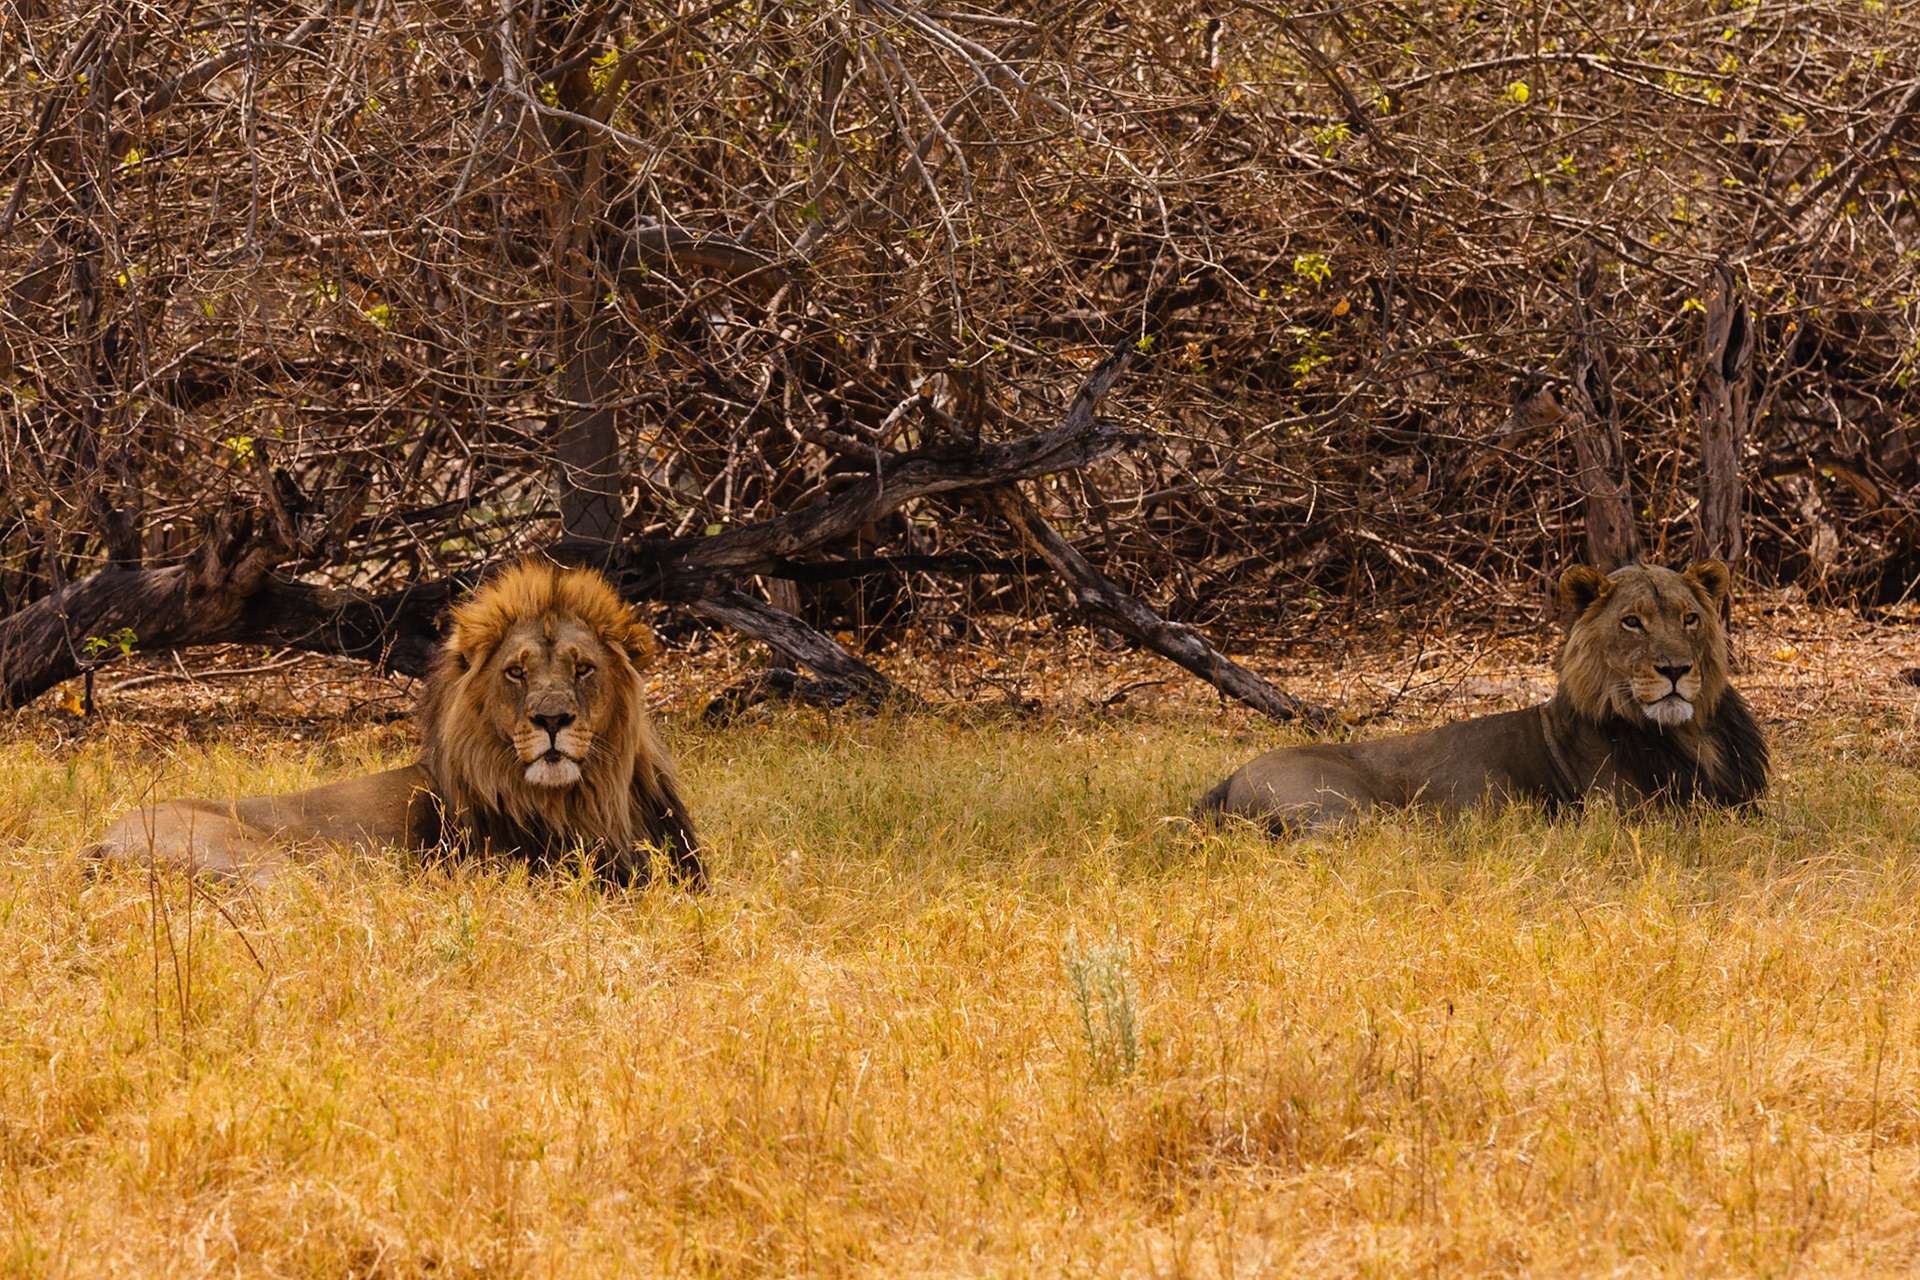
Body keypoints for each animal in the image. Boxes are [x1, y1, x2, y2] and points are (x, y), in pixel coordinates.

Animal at [1196, 561, 1769, 833]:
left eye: (1689, 618)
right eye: (1632, 622)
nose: (1675, 670)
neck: (1692, 733)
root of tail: (1225, 782)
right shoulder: (1639, 819)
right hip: (1342, 812)